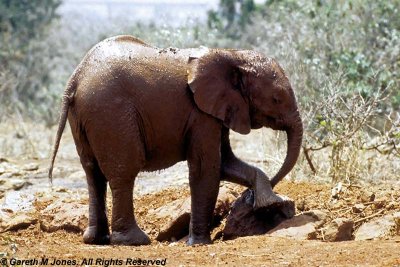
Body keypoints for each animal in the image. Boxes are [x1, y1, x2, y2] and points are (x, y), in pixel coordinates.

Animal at [48, 35, 302, 247]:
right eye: (277, 99)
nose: (249, 199)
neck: (231, 55)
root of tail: (76, 77)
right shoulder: (200, 114)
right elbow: (206, 169)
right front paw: (198, 244)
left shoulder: (217, 111)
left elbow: (225, 164)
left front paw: (269, 201)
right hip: (111, 112)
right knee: (124, 172)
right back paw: (133, 241)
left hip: (84, 116)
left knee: (93, 173)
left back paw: (96, 240)